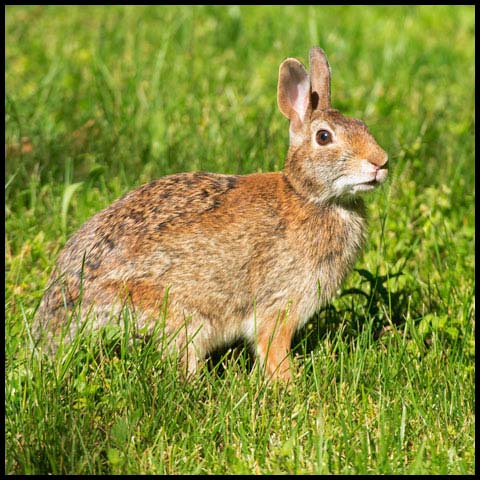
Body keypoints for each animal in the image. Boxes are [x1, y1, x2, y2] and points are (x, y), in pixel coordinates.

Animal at [34, 47, 386, 380]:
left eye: (363, 126)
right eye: (324, 137)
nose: (380, 162)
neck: (310, 197)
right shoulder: (279, 303)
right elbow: (272, 346)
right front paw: (290, 384)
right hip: (178, 314)